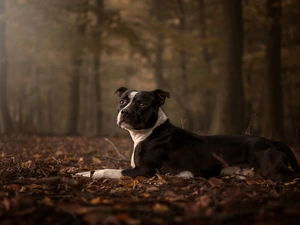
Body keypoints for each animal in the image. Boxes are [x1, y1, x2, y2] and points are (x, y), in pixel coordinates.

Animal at [77, 86, 300, 181]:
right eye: (122, 101)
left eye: (142, 104)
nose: (124, 112)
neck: (152, 132)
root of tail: (270, 140)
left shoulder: (144, 171)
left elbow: (106, 170)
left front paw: (84, 173)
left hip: (272, 169)